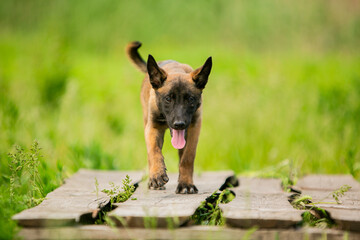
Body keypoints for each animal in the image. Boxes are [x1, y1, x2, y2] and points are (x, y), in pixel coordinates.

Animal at [126, 41, 211, 195]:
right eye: (168, 99)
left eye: (190, 99)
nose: (179, 124)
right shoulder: (152, 128)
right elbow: (154, 151)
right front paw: (157, 175)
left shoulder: (194, 128)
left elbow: (187, 158)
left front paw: (186, 184)